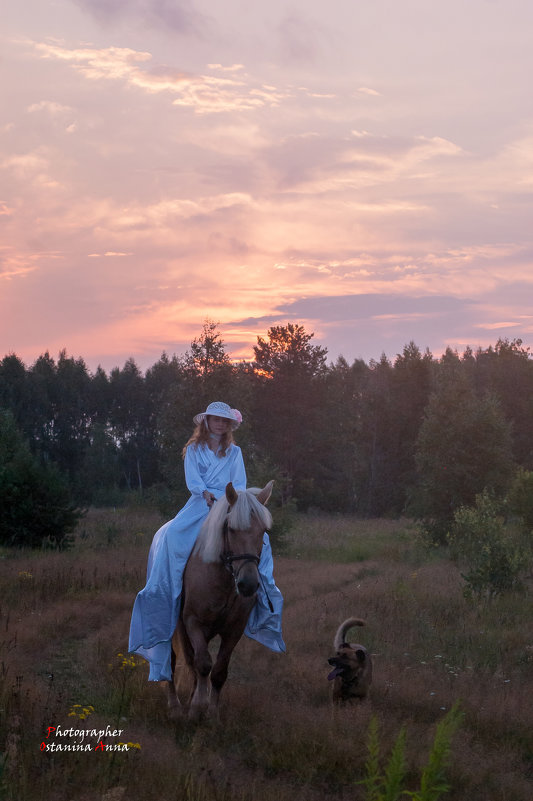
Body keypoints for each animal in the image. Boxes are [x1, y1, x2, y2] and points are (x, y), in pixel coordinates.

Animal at [167, 478, 274, 716]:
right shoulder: (193, 622)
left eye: (263, 531)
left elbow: (218, 671)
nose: (248, 584)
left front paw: (212, 713)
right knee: (173, 660)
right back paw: (176, 705)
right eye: (231, 529)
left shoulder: (234, 630)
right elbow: (202, 664)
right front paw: (197, 706)